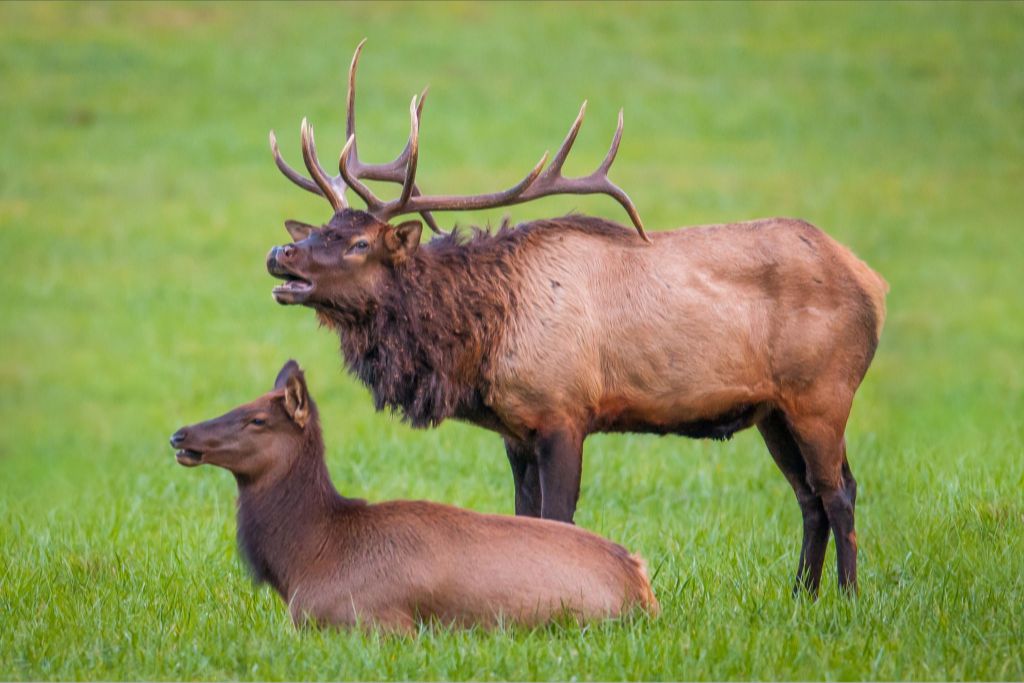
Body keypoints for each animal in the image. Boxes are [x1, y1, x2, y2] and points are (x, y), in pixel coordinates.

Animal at [264, 41, 888, 595]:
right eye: (321, 228)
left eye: (360, 243)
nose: (279, 252)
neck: (483, 340)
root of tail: (874, 285)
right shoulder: (515, 431)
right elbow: (524, 519)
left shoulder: (564, 411)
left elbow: (558, 520)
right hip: (772, 410)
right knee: (808, 496)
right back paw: (801, 595)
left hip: (822, 393)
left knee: (839, 490)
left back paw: (847, 598)